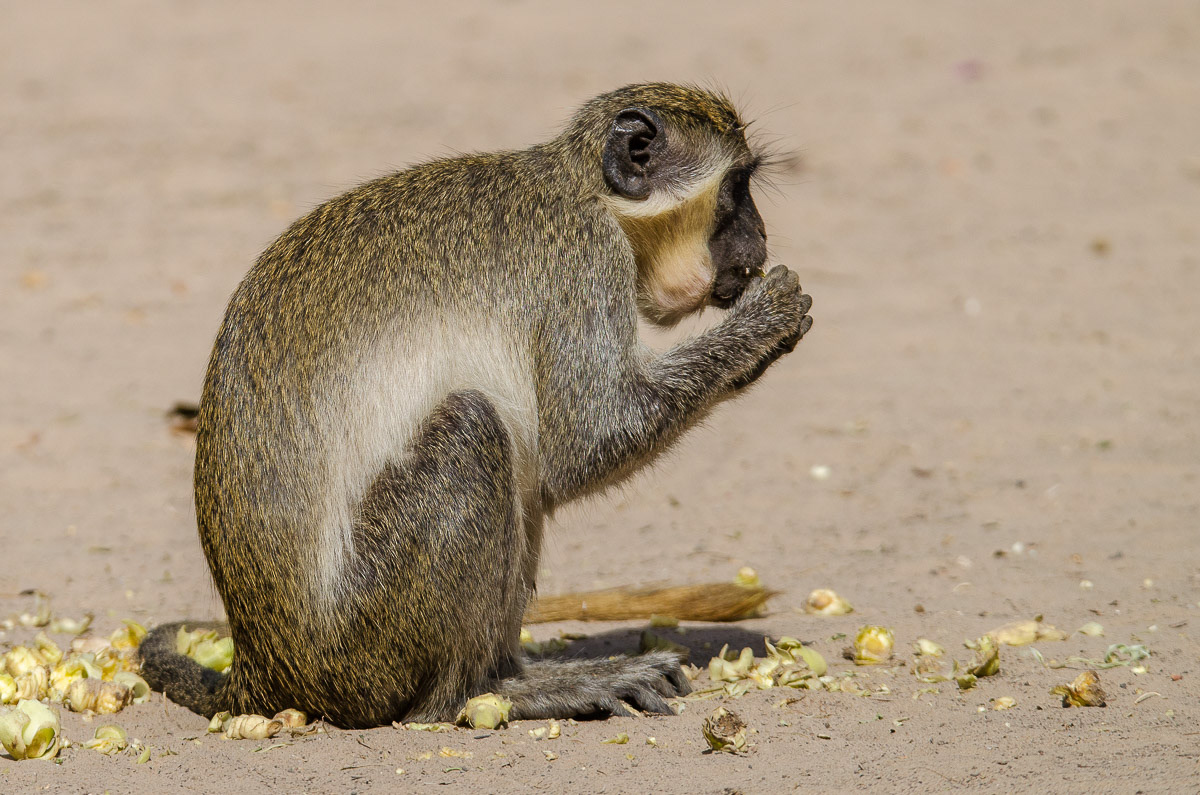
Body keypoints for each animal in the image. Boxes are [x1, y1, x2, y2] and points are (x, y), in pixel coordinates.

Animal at [139, 83, 813, 729]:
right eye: (737, 189)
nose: (759, 237)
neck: (585, 190)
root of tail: (261, 668)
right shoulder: (583, 256)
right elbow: (585, 444)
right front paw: (762, 326)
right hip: (363, 644)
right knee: (473, 427)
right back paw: (486, 692)